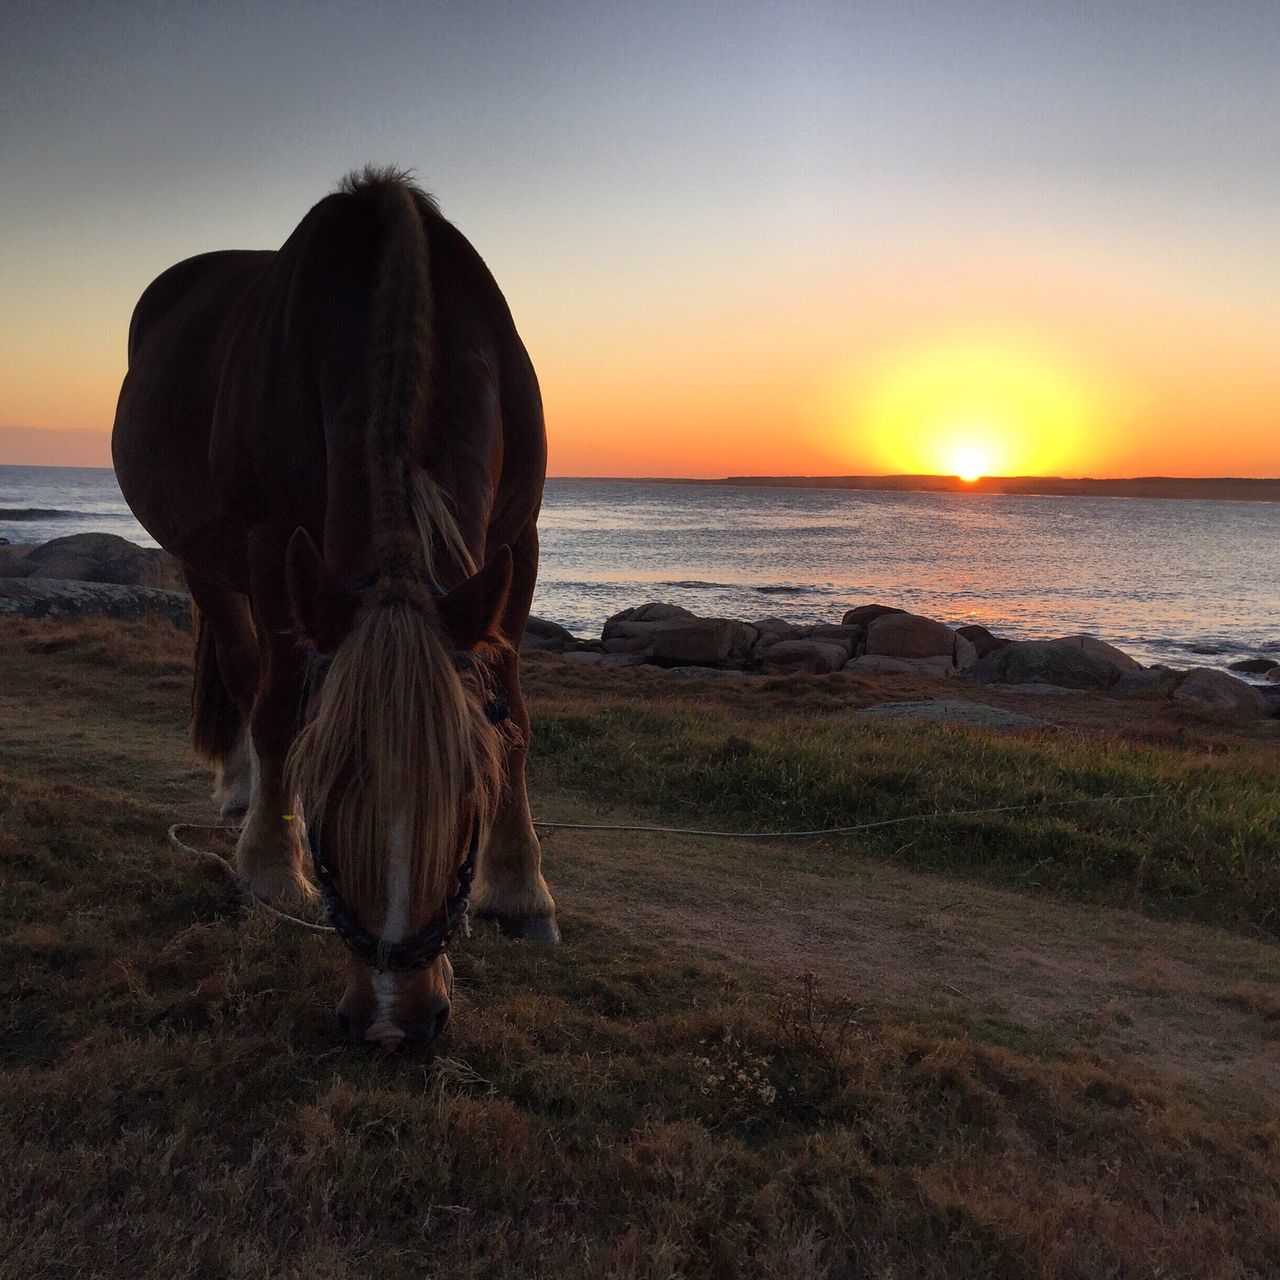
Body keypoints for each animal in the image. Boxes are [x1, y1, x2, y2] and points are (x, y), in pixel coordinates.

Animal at [113, 170, 560, 1049]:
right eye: (326, 793)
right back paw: (246, 794)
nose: (393, 1023)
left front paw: (522, 888)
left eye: (469, 794)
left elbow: (515, 717)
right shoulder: (271, 543)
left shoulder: (515, 544)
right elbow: (280, 706)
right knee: (246, 670)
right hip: (207, 560)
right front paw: (268, 866)